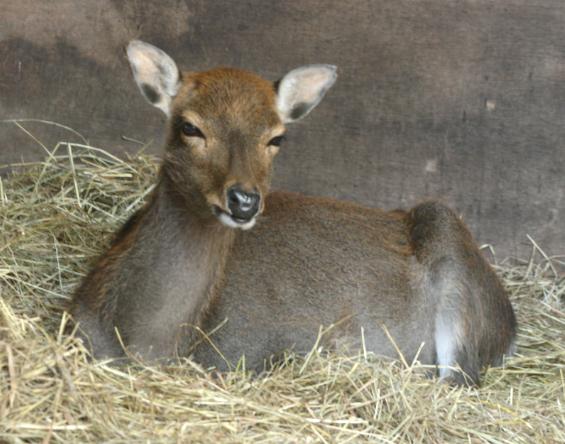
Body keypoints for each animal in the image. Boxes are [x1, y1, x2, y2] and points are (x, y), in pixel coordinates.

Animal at [69, 40, 516, 386]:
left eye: (276, 137)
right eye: (189, 126)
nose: (244, 200)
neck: (146, 340)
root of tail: (511, 324)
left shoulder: (253, 352)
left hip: (452, 259)